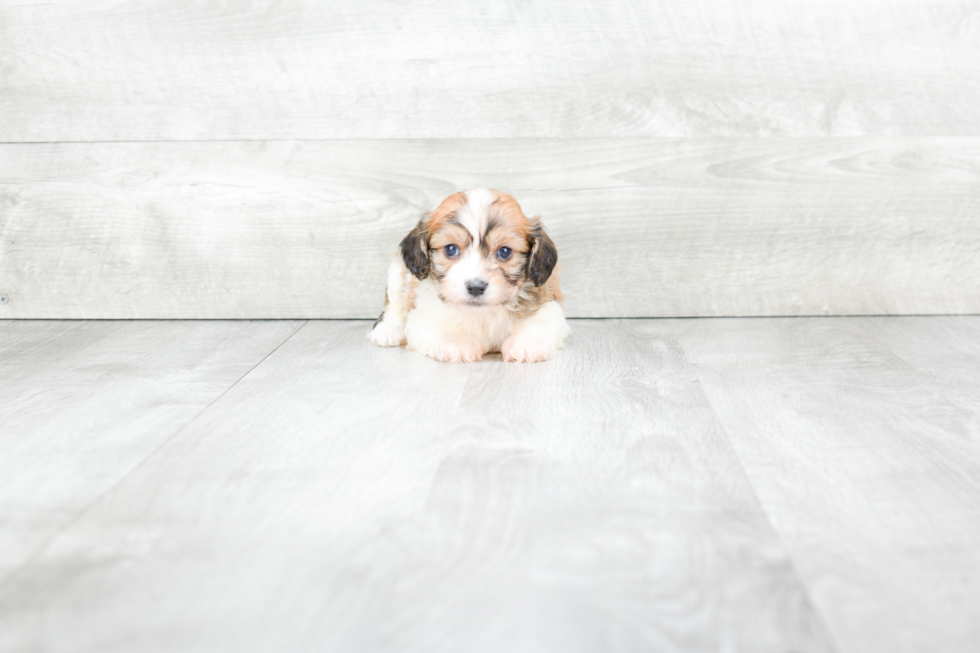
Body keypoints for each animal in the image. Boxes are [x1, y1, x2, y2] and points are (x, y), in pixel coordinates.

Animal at [370, 187, 572, 362]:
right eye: (451, 249)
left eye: (505, 251)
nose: (476, 287)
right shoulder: (423, 315)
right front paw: (455, 341)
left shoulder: (548, 303)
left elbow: (543, 321)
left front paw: (527, 343)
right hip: (396, 273)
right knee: (395, 306)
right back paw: (388, 330)